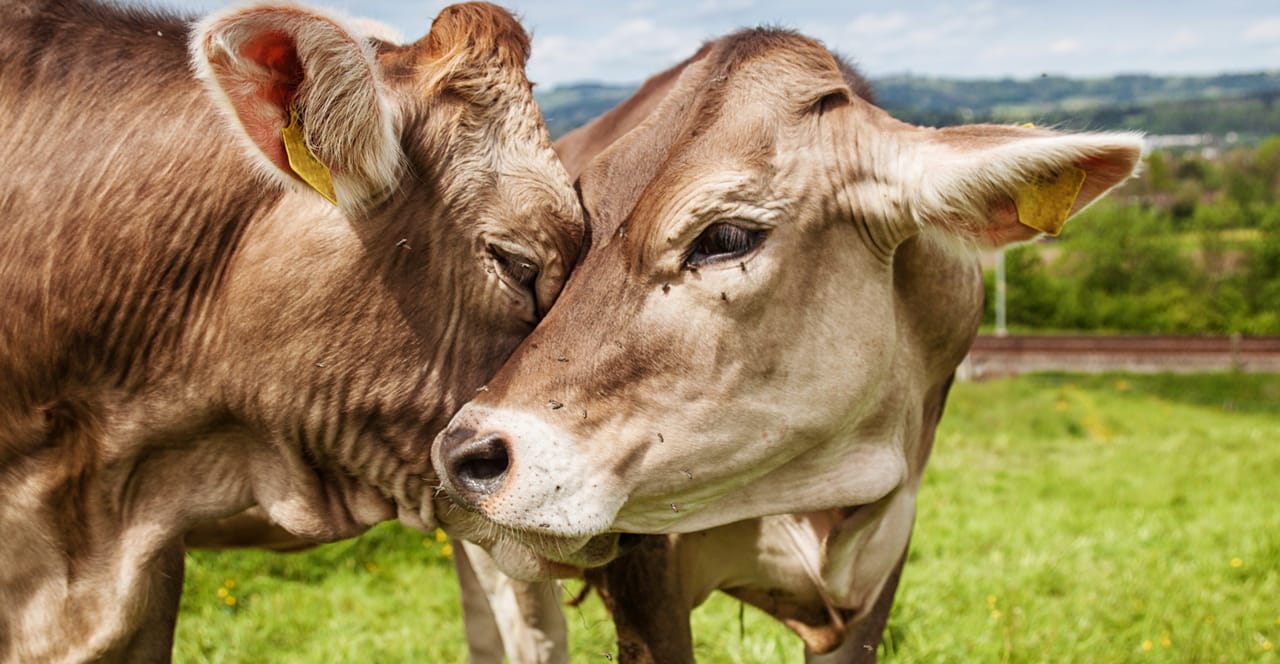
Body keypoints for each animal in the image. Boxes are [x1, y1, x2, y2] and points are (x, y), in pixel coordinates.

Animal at [432, 25, 1142, 661]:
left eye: (725, 237)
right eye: (575, 238)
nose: (468, 453)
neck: (818, 485)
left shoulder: (883, 565)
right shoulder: (643, 580)